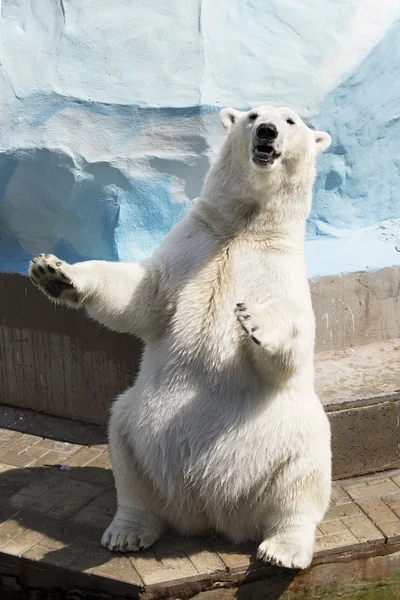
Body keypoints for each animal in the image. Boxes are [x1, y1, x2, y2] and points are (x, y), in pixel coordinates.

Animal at [28, 105, 332, 568]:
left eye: (291, 121)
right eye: (253, 114)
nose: (266, 131)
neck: (245, 227)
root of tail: (212, 514)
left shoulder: (280, 267)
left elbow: (292, 345)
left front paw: (254, 318)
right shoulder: (194, 244)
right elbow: (143, 294)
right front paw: (54, 272)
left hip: (286, 438)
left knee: (303, 477)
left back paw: (283, 548)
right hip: (139, 426)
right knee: (125, 453)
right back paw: (127, 532)